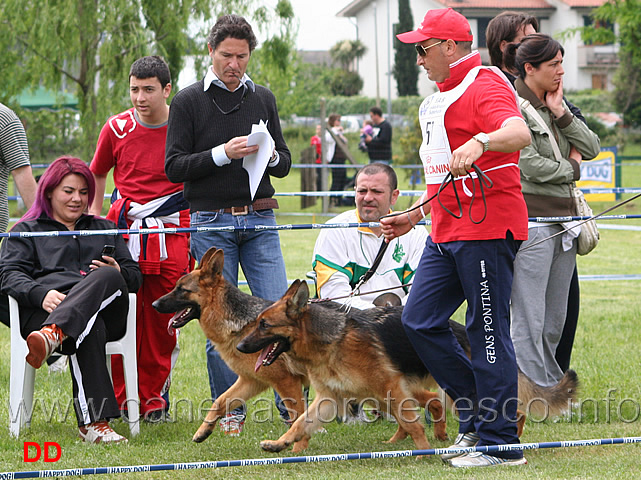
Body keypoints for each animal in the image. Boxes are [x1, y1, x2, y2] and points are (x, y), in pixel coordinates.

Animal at [151, 248, 308, 450]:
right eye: (175, 287)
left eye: (182, 290)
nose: (154, 304)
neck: (241, 325)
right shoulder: (251, 381)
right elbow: (220, 401)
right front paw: (204, 430)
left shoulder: (286, 381)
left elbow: (299, 418)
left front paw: (299, 450)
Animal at [238, 280, 576, 452]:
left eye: (264, 325)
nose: (240, 347)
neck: (330, 340)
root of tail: (463, 332)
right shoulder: (328, 398)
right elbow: (299, 423)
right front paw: (280, 444)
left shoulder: (390, 387)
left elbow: (414, 423)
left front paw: (424, 451)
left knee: (513, 410)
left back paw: (506, 437)